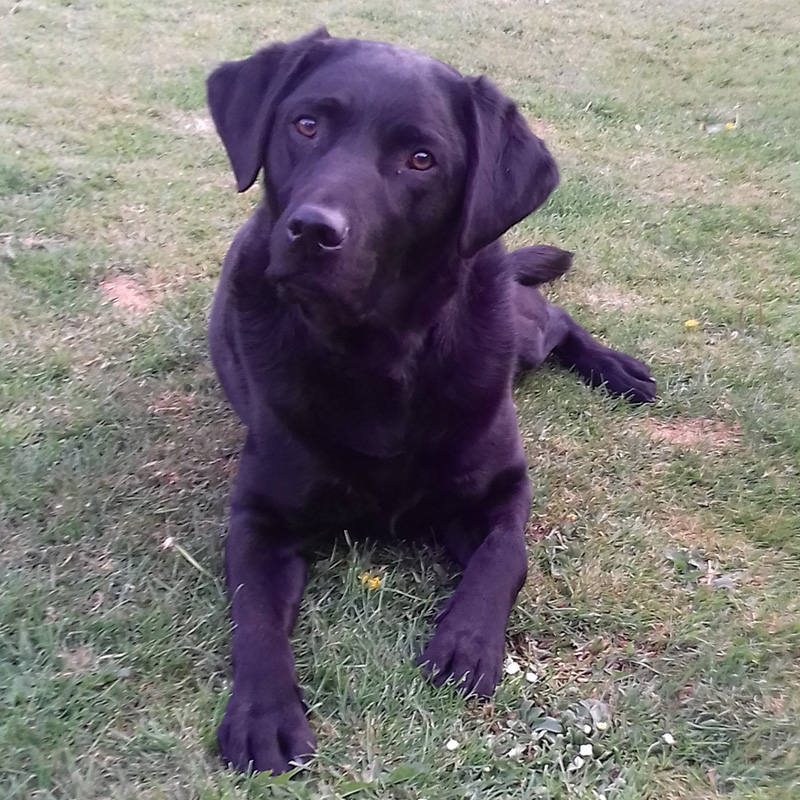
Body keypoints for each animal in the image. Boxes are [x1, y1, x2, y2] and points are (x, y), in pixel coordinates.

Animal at [206, 28, 656, 772]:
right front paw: (263, 712)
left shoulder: (502, 489)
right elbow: (255, 614)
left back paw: (618, 369)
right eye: (306, 125)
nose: (312, 231)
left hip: (522, 337)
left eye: (421, 159)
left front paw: (467, 641)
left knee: (558, 320)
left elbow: (506, 557)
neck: (379, 358)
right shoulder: (258, 518)